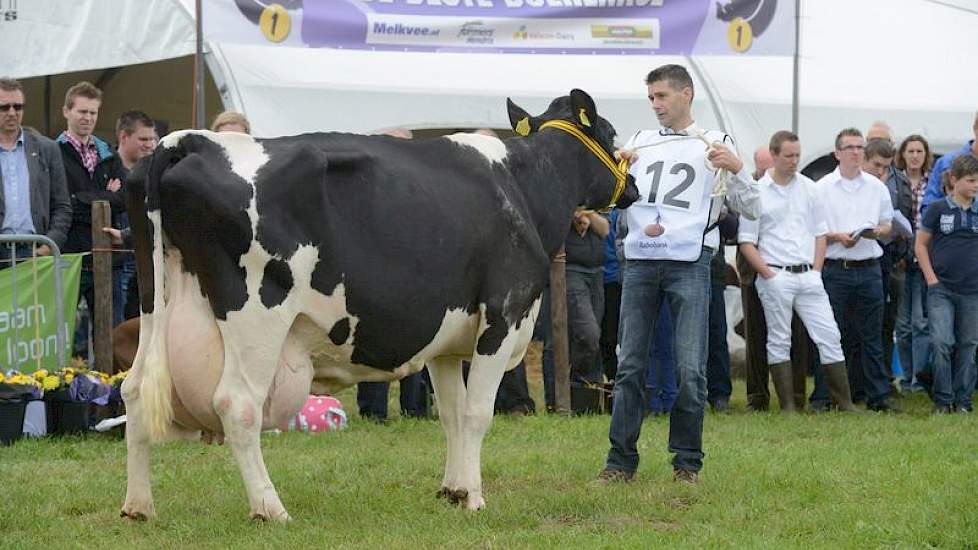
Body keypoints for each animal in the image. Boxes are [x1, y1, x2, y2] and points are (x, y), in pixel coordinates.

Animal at [120, 89, 640, 520]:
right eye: (612, 133)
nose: (633, 185)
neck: (523, 189)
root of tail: (191, 140)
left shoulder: (447, 338)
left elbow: (451, 414)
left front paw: (452, 490)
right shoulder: (504, 313)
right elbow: (476, 413)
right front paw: (473, 497)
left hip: (154, 306)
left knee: (134, 390)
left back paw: (139, 506)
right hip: (257, 316)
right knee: (237, 404)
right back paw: (271, 508)